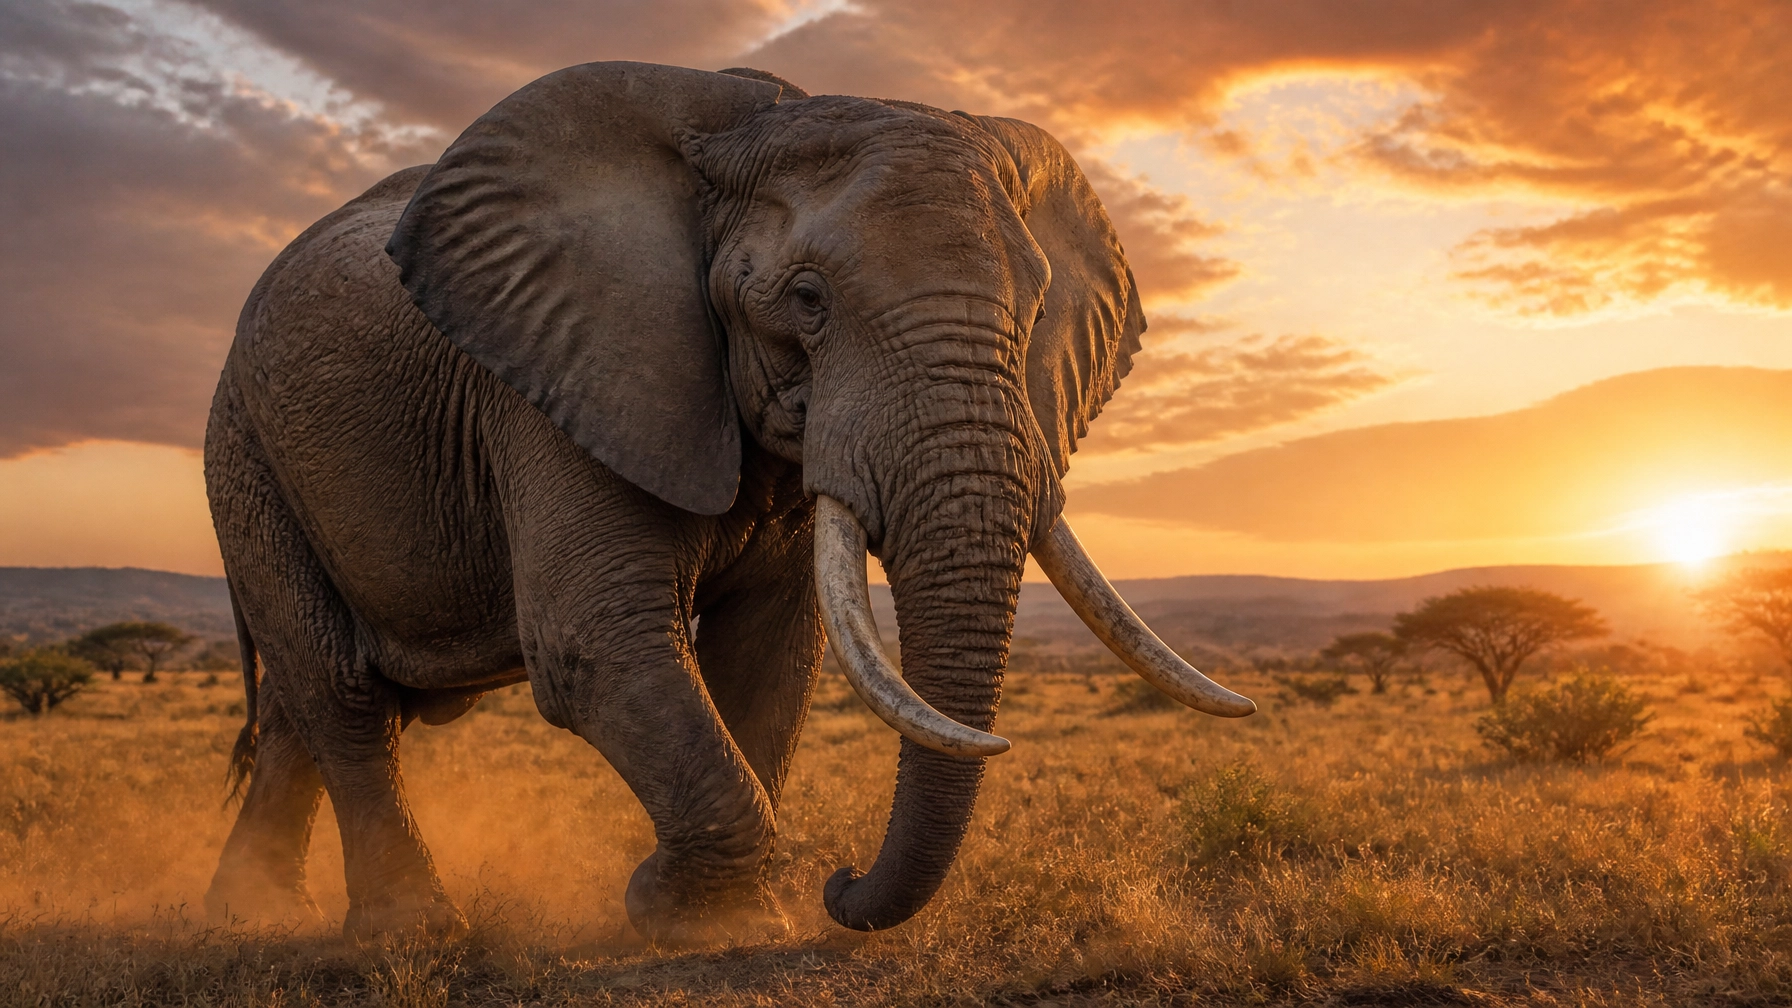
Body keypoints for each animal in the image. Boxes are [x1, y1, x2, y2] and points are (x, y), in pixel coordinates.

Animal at [203, 60, 1253, 943]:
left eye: (1033, 314)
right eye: (807, 299)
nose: (842, 885)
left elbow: (770, 648)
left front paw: (734, 915)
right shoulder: (560, 373)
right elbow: (597, 643)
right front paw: (691, 918)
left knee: (304, 707)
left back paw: (252, 916)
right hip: (245, 452)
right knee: (339, 689)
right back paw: (409, 934)